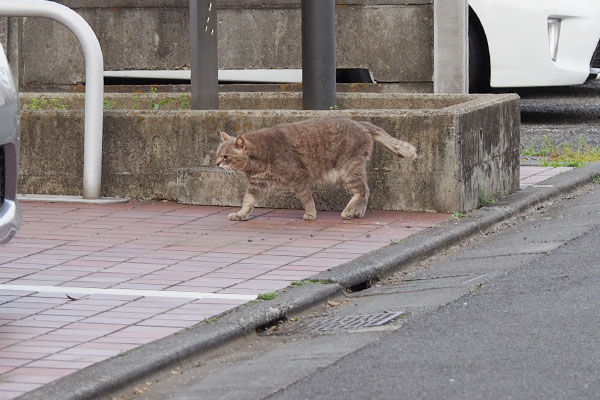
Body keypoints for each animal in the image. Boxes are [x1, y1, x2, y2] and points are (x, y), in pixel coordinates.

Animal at [216, 115, 418, 222]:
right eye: (217, 154)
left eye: (226, 156)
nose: (217, 163)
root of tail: (362, 123)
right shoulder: (256, 185)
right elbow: (247, 202)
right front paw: (240, 214)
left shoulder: (298, 177)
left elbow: (307, 198)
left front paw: (310, 214)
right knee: (366, 191)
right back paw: (357, 212)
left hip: (348, 170)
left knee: (362, 190)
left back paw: (348, 211)